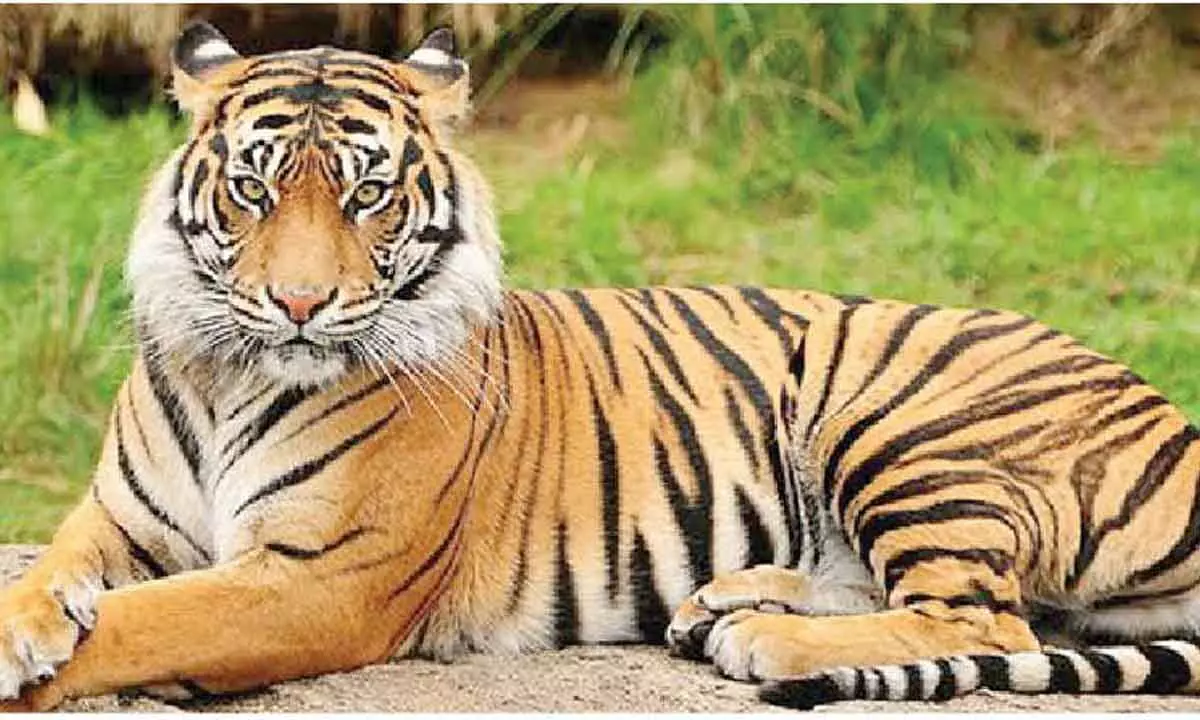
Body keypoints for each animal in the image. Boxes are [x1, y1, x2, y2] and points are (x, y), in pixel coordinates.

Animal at [1, 21, 1198, 712]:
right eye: (253, 189)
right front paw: (27, 626)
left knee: (982, 616)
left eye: (367, 195)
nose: (299, 304)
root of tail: (1174, 419)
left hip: (898, 416)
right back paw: (726, 600)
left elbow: (145, 625)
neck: (231, 370)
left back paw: (762, 638)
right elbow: (48, 575)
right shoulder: (116, 520)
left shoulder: (317, 578)